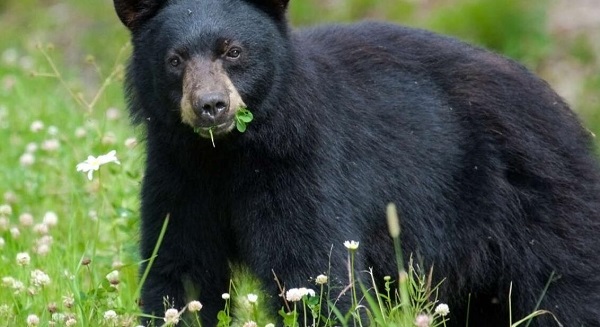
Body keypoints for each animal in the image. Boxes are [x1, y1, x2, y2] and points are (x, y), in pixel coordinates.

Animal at [111, 0, 600, 326]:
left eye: (233, 51)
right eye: (175, 60)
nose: (211, 106)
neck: (228, 155)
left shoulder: (304, 165)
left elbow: (315, 269)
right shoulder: (178, 173)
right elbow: (179, 268)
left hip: (539, 210)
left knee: (567, 291)